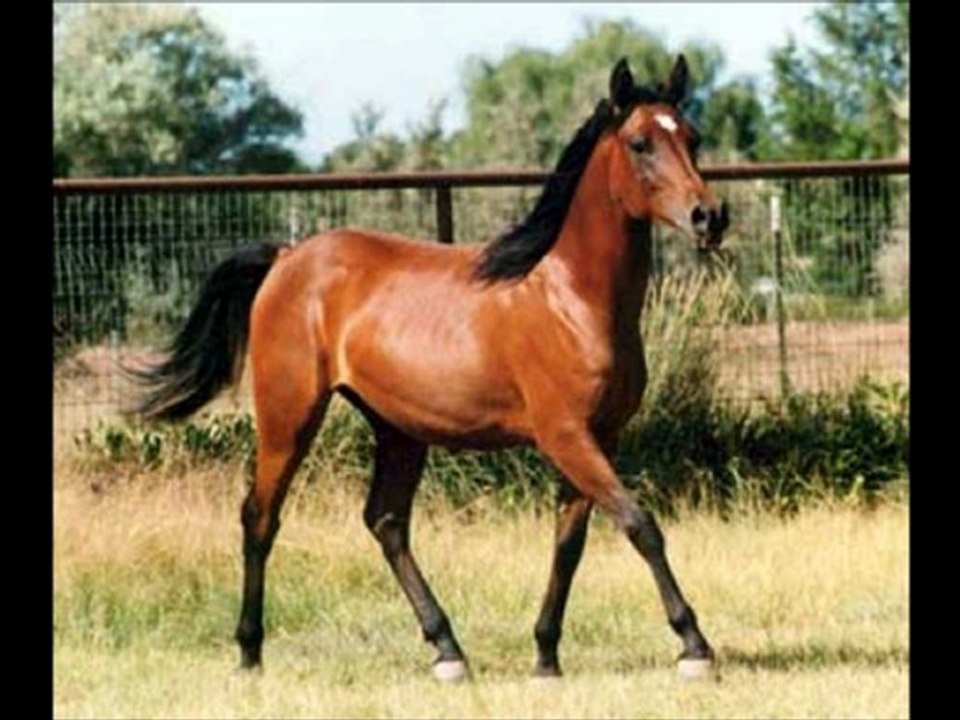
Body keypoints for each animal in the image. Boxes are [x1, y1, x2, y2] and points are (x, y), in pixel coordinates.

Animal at [133, 55, 729, 682]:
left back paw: (447, 649)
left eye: (693, 138)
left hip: (397, 428)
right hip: (288, 415)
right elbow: (641, 525)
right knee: (260, 517)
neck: (572, 299)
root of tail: (287, 259)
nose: (710, 217)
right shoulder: (565, 434)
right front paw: (694, 647)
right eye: (640, 143)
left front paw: (546, 655)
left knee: (386, 521)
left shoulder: (599, 438)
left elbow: (570, 544)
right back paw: (250, 652)